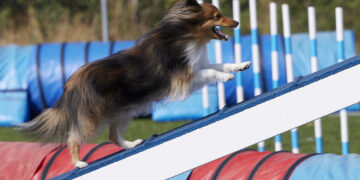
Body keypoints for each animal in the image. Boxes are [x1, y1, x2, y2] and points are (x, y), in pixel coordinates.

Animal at [18, 0, 249, 169]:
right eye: (216, 16)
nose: (237, 23)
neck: (184, 34)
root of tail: (70, 84)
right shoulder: (184, 78)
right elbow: (211, 71)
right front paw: (227, 78)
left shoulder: (196, 66)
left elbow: (220, 64)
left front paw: (241, 65)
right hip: (93, 119)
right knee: (73, 137)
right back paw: (79, 163)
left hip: (122, 112)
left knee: (112, 136)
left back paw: (132, 145)